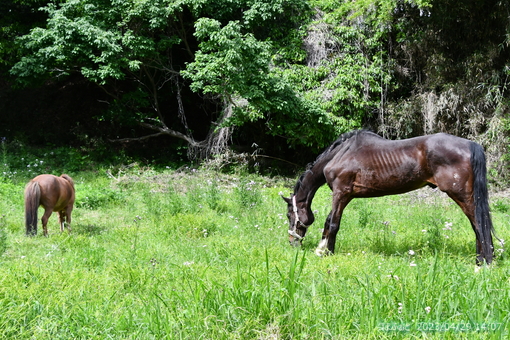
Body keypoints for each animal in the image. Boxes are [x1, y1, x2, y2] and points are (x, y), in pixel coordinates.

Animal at [280, 129, 496, 264]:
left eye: (289, 215)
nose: (292, 242)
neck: (341, 153)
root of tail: (471, 145)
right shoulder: (346, 196)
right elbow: (331, 221)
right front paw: (326, 250)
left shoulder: (341, 192)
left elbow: (332, 223)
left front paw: (325, 252)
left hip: (462, 195)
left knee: (479, 224)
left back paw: (484, 261)